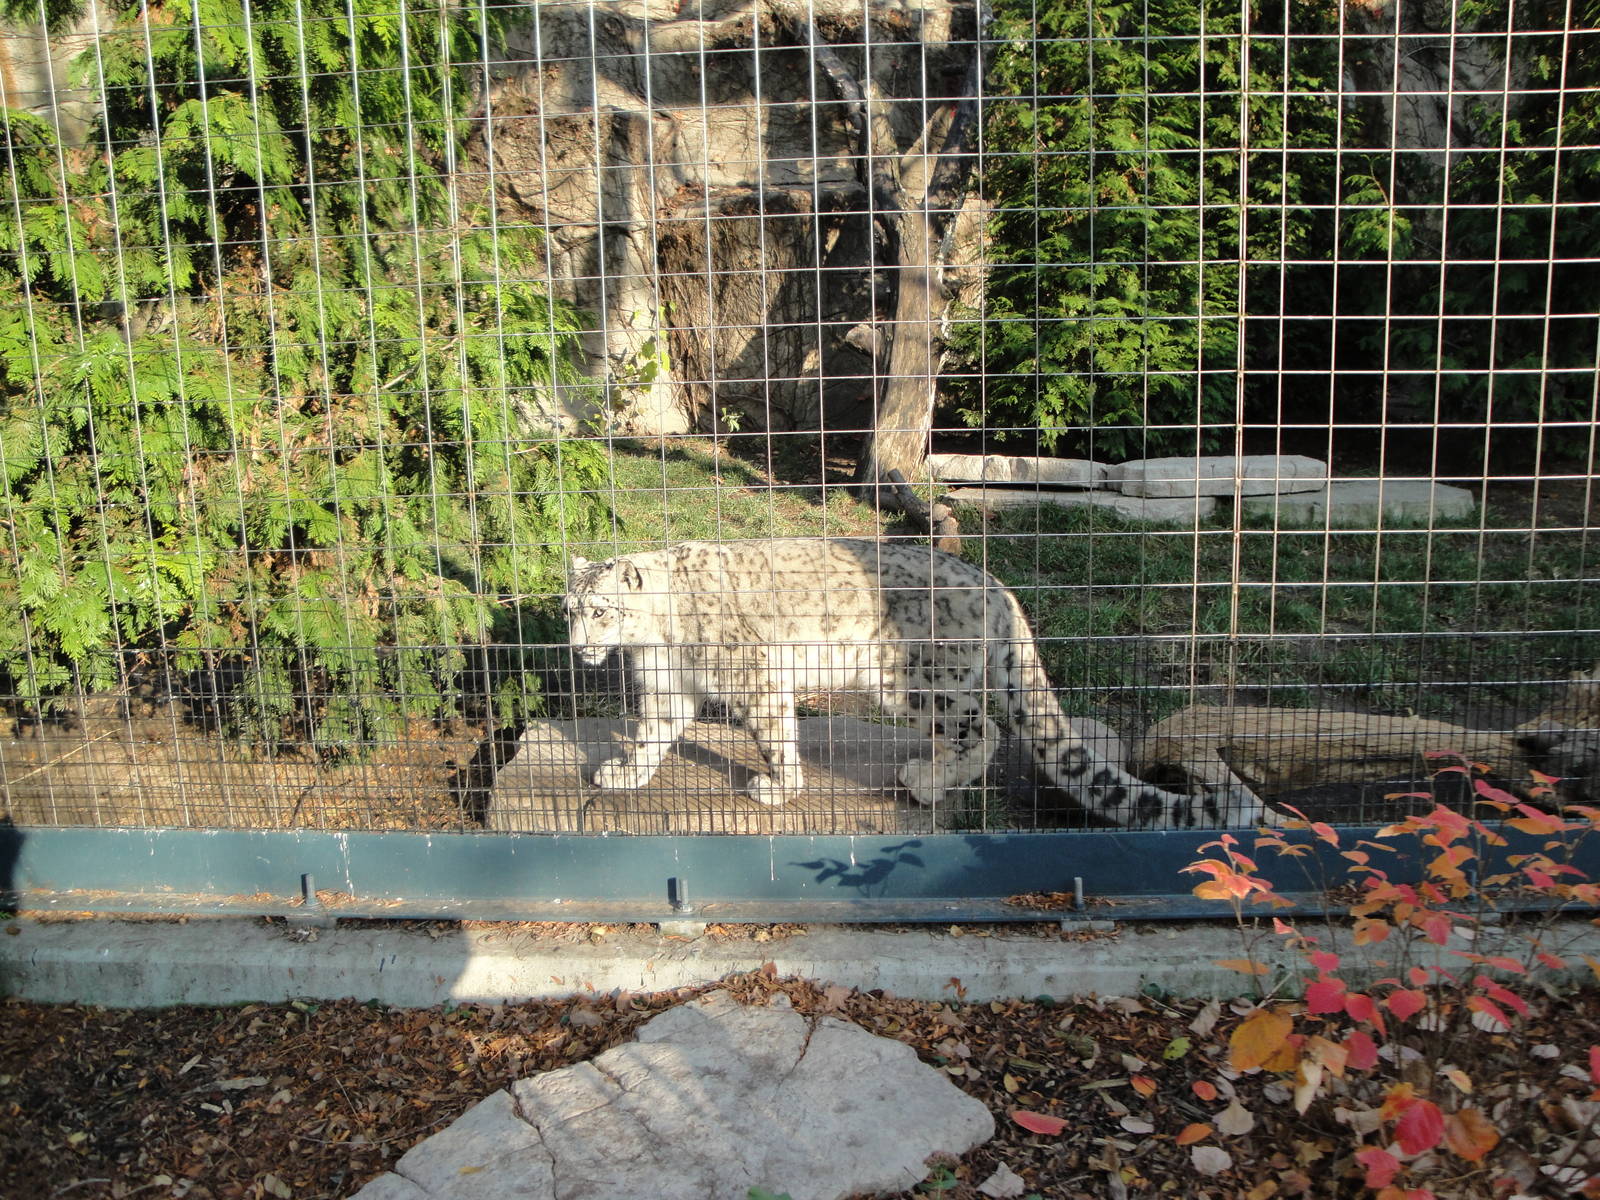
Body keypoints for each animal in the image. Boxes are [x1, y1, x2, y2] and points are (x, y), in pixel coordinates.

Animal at [565, 537, 1265, 828]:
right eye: (570, 610)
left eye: (600, 611)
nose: (576, 647)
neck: (655, 637)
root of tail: (998, 587)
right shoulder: (668, 689)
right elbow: (653, 736)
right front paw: (623, 775)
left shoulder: (757, 680)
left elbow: (775, 736)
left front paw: (778, 788)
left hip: (912, 679)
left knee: (983, 727)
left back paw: (928, 779)